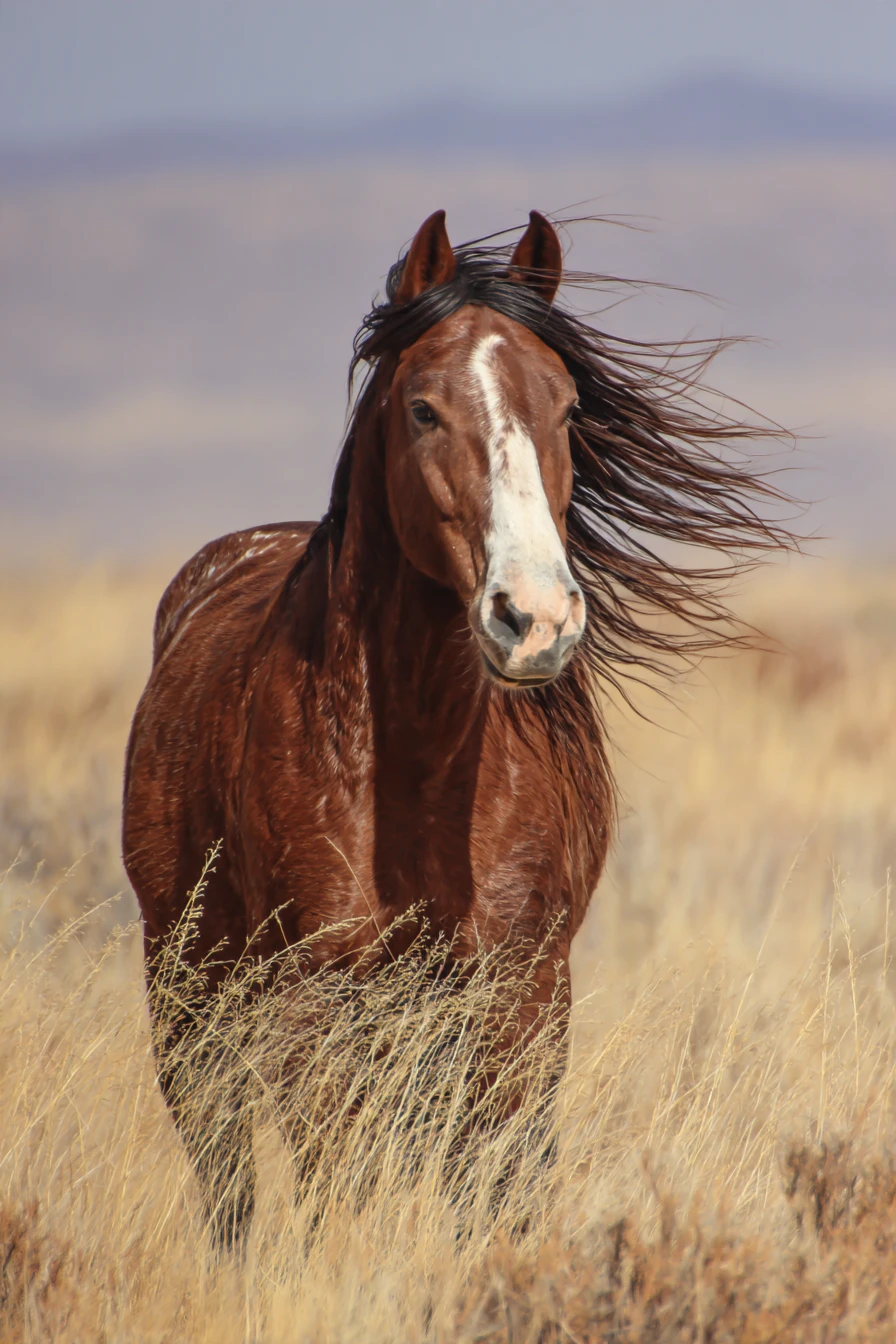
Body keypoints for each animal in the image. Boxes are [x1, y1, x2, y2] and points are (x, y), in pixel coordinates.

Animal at [122, 209, 794, 1247]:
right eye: (424, 410)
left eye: (567, 408)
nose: (536, 618)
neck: (418, 771)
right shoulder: (322, 1004)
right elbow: (336, 1194)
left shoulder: (522, 997)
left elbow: (498, 1199)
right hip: (188, 990)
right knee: (229, 1184)